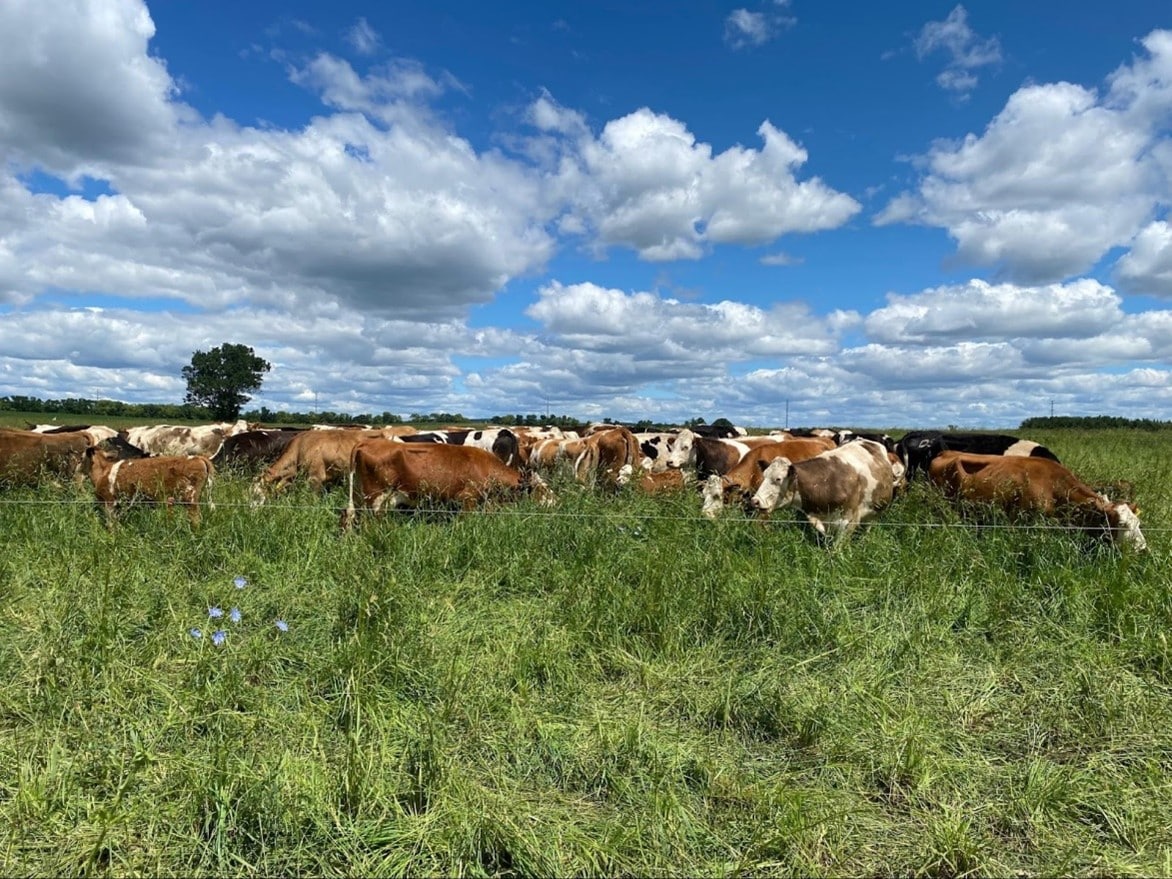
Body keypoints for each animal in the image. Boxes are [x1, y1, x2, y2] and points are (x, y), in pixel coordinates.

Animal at [86, 438, 217, 527]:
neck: (103, 471)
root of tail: (197, 458)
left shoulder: (109, 502)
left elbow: (111, 525)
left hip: (190, 499)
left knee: (195, 520)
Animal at [342, 440, 555, 529]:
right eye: (541, 490)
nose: (555, 503)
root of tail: (366, 442)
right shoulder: (467, 500)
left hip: (362, 497)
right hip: (375, 498)